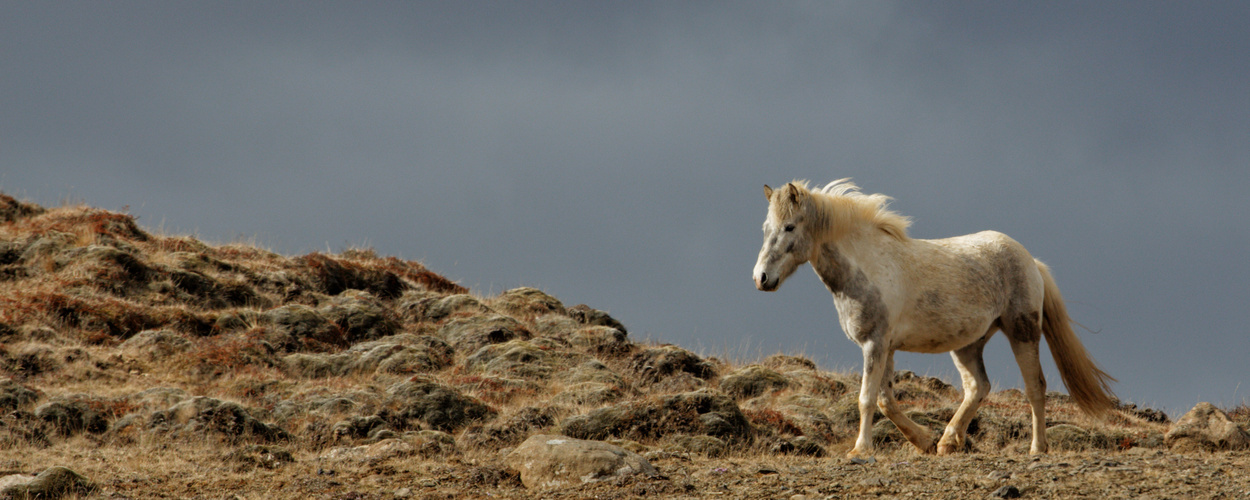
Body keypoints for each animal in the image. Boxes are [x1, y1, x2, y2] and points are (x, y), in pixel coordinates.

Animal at [750, 181, 1115, 457]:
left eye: (790, 227)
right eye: (766, 228)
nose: (761, 278)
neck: (869, 266)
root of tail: (1031, 261)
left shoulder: (875, 344)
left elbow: (867, 399)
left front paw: (860, 450)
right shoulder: (885, 347)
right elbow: (885, 400)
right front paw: (924, 441)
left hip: (1022, 332)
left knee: (1034, 386)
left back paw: (1037, 449)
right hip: (968, 344)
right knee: (978, 387)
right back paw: (948, 442)